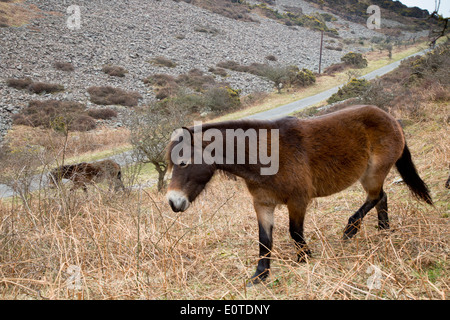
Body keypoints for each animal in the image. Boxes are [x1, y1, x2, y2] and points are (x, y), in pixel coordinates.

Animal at [165, 106, 432, 284]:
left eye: (183, 162)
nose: (173, 202)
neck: (265, 156)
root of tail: (390, 117)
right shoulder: (263, 204)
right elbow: (264, 241)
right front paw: (260, 275)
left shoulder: (298, 201)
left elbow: (294, 232)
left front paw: (305, 258)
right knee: (381, 198)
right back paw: (383, 229)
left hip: (372, 174)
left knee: (376, 197)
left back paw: (351, 229)